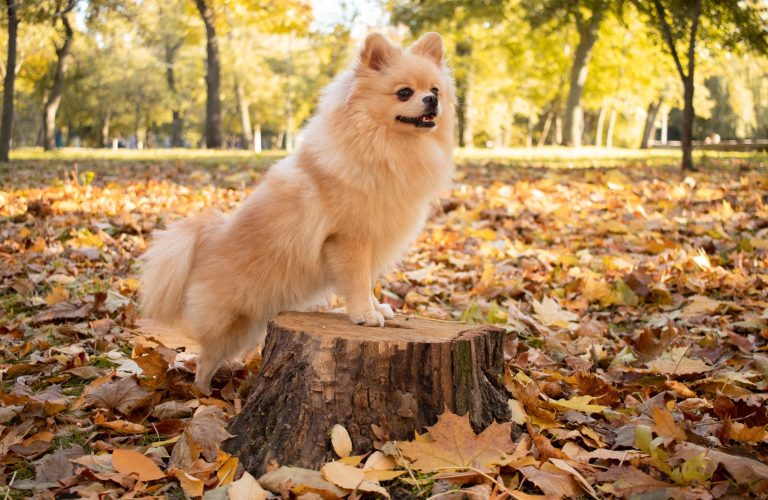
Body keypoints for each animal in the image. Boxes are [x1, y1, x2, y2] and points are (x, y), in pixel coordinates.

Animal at [141, 32, 456, 394]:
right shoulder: (349, 240)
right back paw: (204, 395)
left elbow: (367, 281)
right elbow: (356, 282)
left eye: (435, 90)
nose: (431, 101)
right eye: (404, 92)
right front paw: (364, 314)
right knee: (204, 361)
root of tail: (203, 243)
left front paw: (377, 308)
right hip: (229, 324)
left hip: (246, 327)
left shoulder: (372, 241)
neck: (387, 146)